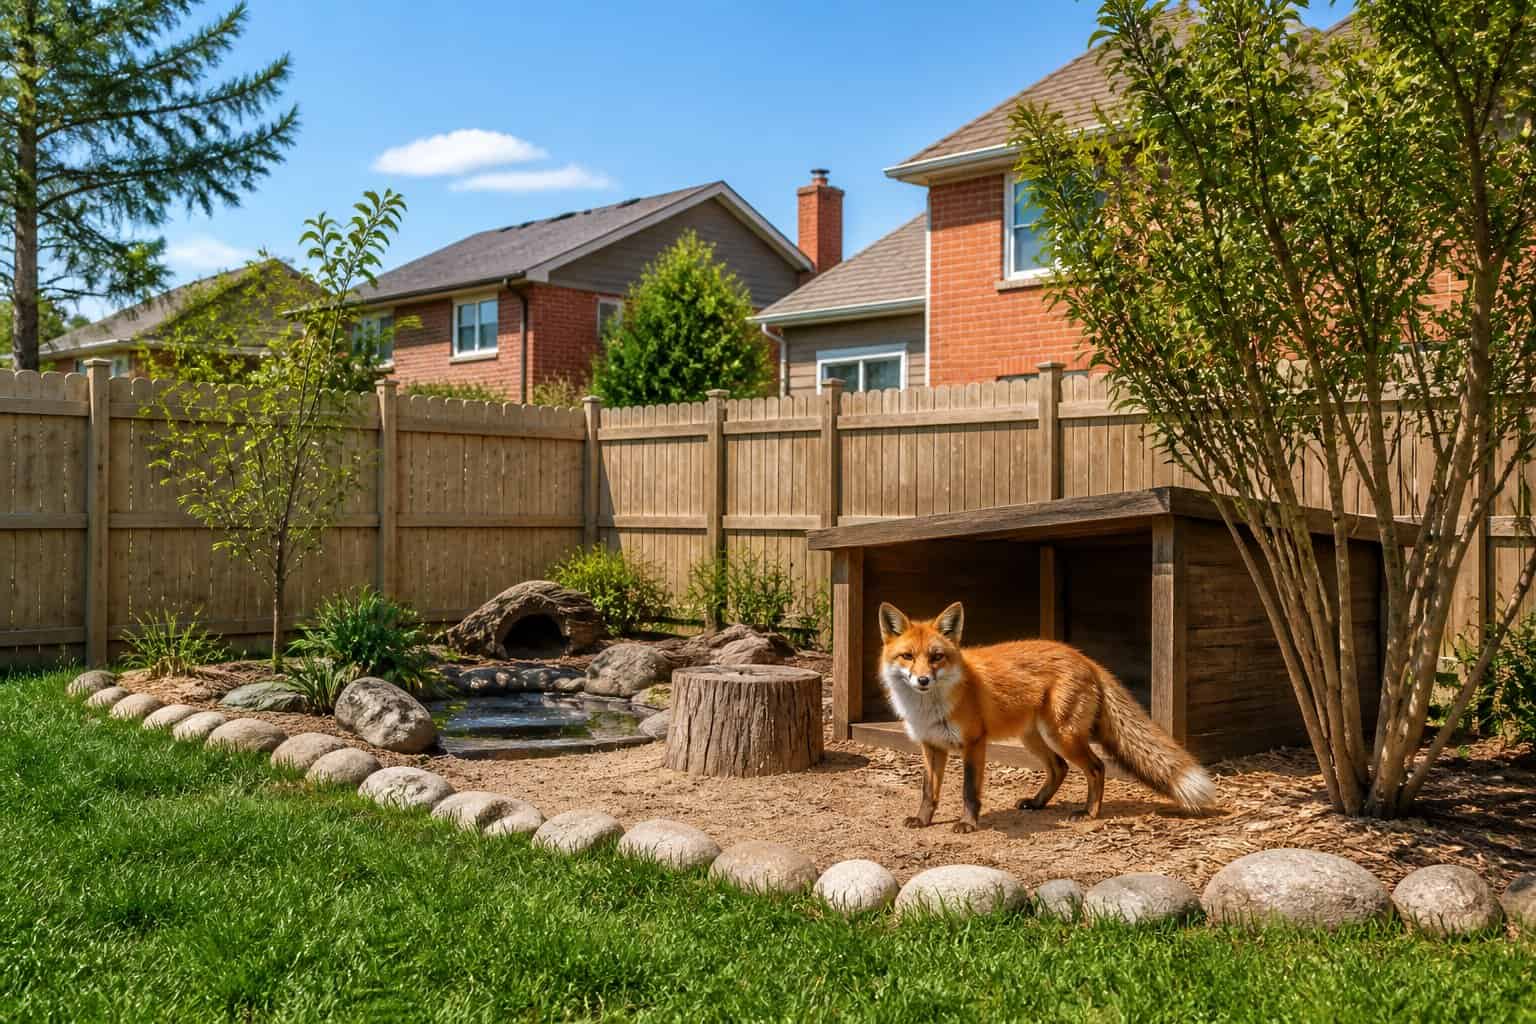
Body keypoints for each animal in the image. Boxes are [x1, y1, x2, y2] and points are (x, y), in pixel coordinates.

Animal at [877, 600, 1217, 831]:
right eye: (907, 656)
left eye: (937, 657)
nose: (923, 680)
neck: (929, 707)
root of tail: (1084, 658)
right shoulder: (931, 746)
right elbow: (928, 791)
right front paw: (922, 819)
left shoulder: (974, 743)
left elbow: (969, 791)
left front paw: (968, 824)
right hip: (1033, 738)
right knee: (1059, 768)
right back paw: (1037, 803)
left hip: (1061, 735)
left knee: (1096, 768)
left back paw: (1088, 813)